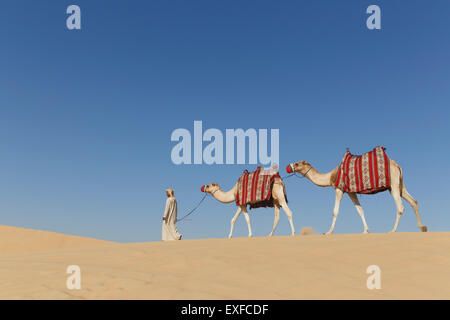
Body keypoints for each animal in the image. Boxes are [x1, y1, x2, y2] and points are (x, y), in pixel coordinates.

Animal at [286, 146, 428, 234]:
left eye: (297, 163)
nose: (288, 166)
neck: (331, 175)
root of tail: (397, 165)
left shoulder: (339, 189)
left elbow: (335, 211)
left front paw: (328, 232)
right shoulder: (351, 191)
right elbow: (360, 210)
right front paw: (366, 231)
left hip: (393, 184)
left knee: (400, 206)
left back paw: (392, 230)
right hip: (399, 185)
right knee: (413, 201)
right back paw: (422, 227)